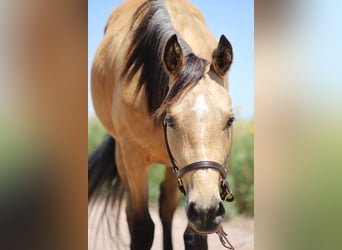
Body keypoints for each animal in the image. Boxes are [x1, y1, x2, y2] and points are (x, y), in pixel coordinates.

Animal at [89, 0, 235, 249]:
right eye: (170, 120)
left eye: (230, 120)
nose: (206, 210)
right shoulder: (133, 158)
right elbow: (142, 227)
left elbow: (193, 235)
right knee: (131, 214)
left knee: (166, 209)